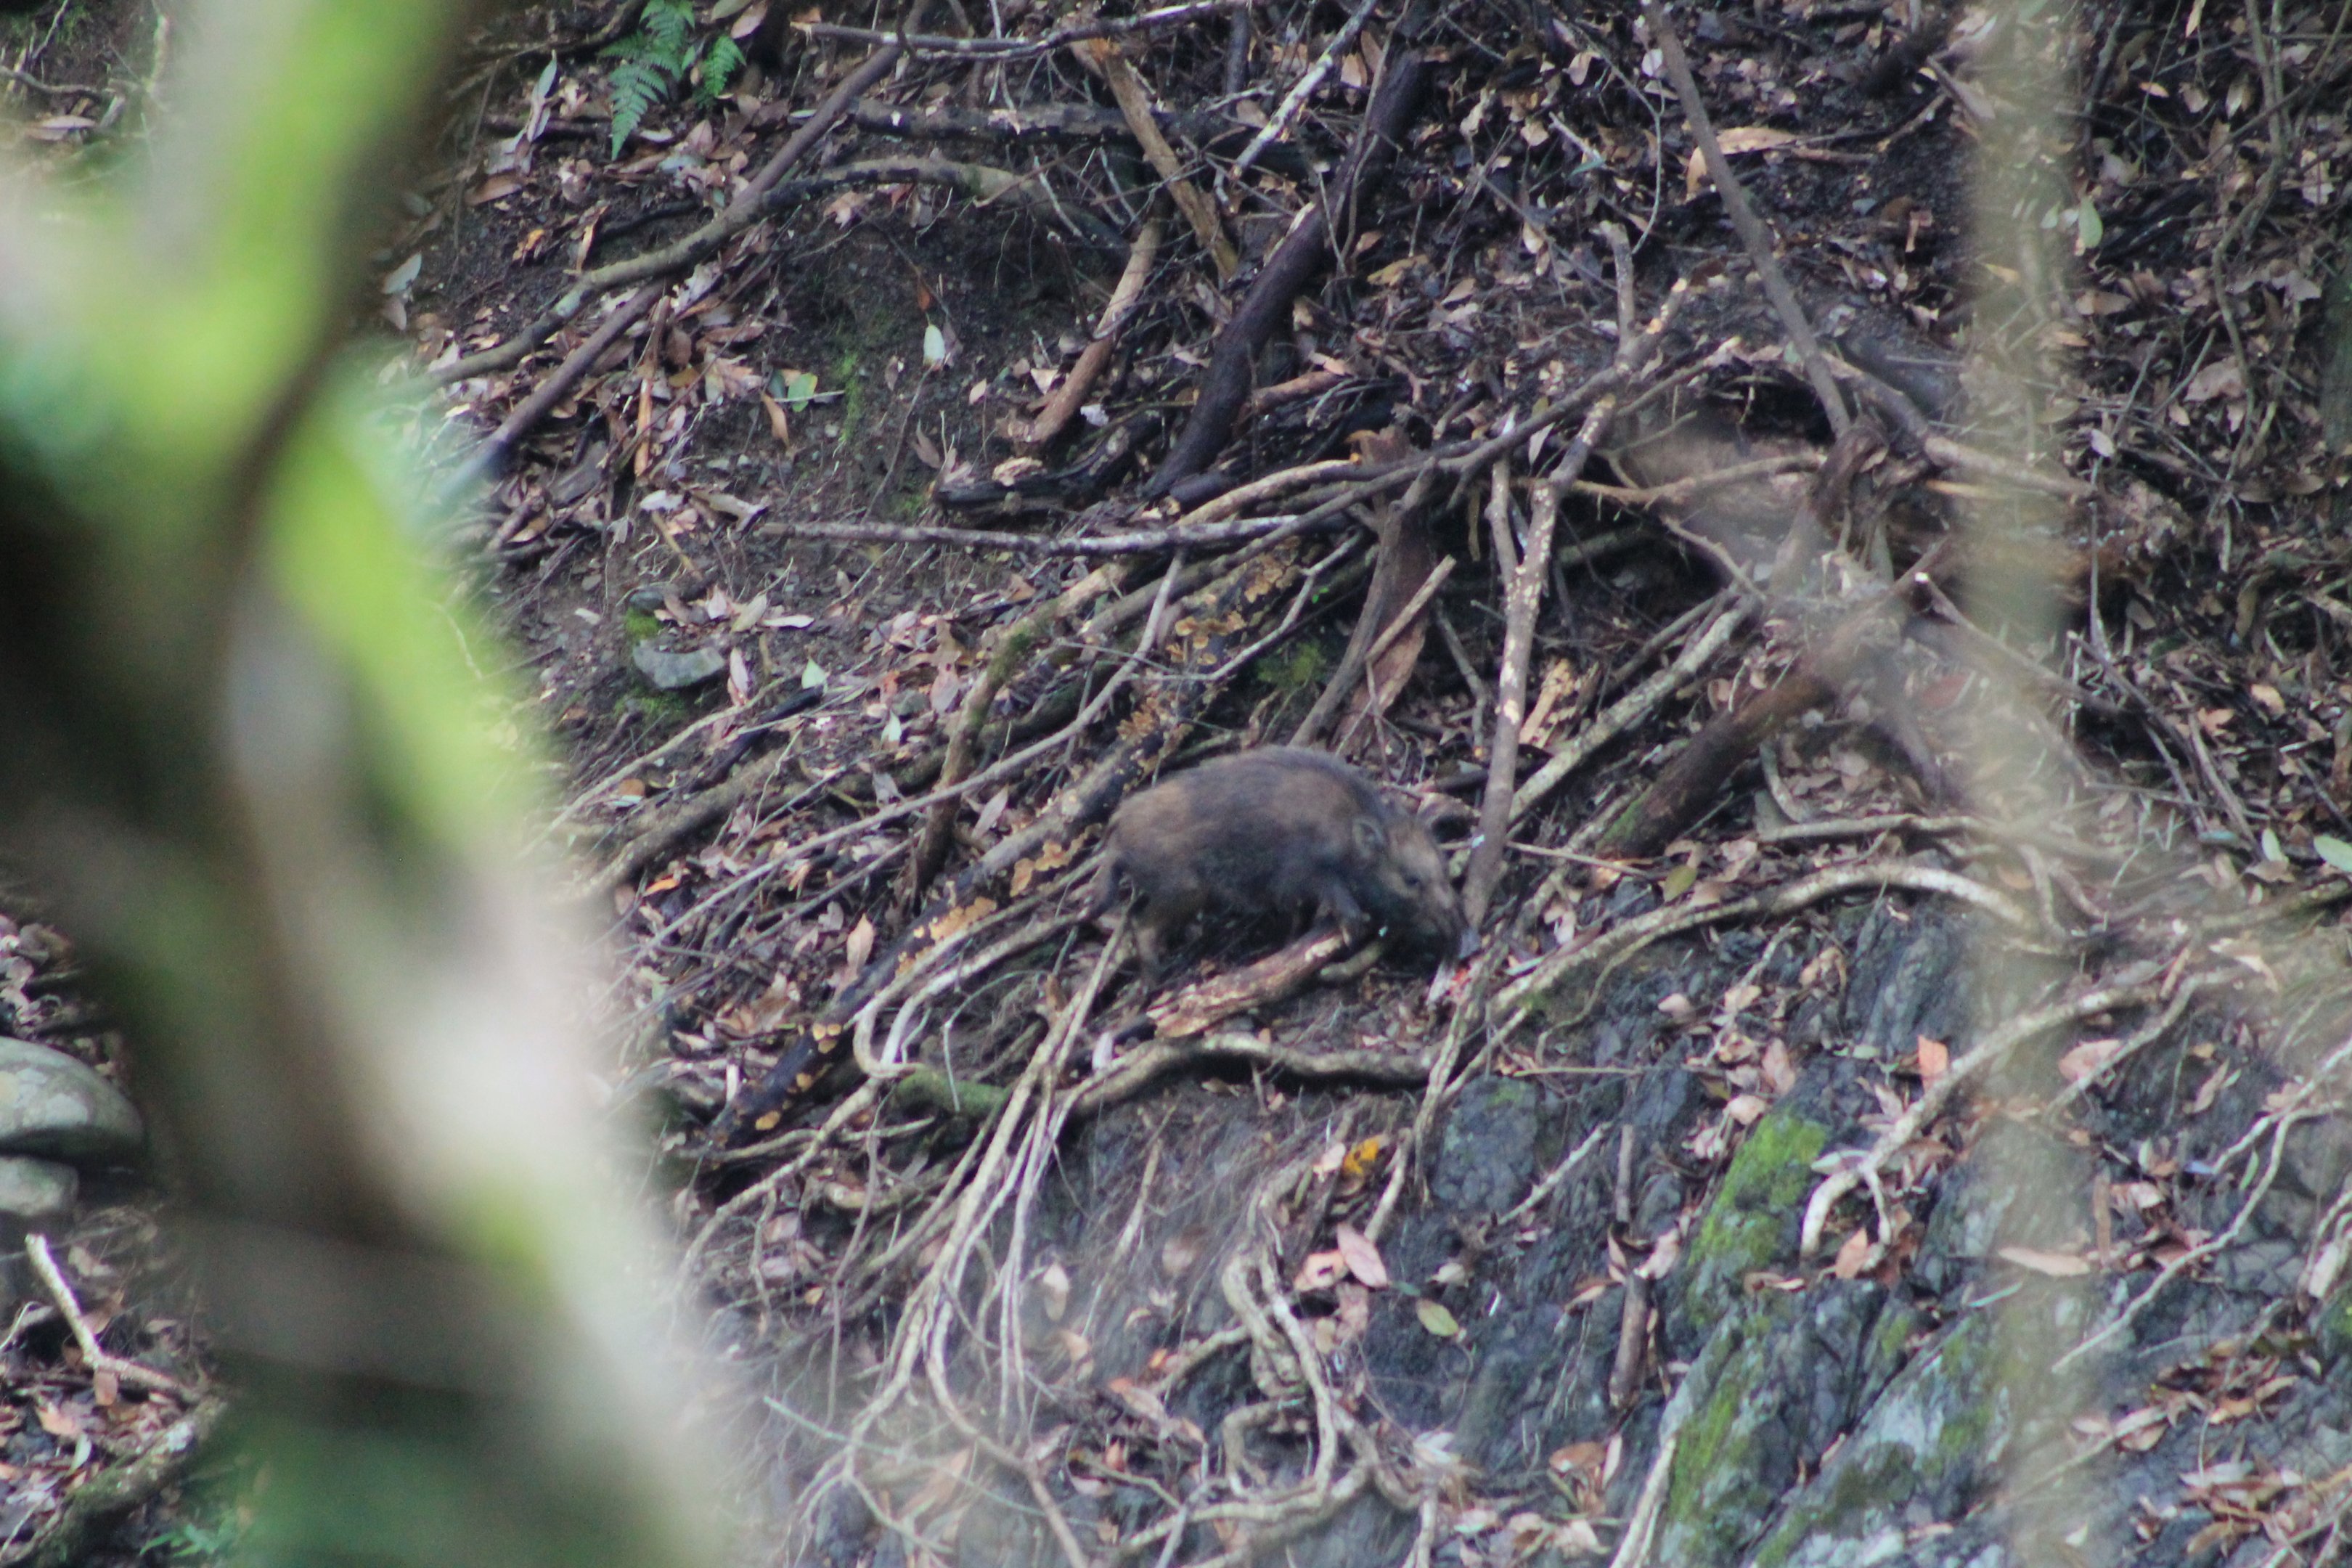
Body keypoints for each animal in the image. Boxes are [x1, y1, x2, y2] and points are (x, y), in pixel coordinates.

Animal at [1087, 747, 1469, 978]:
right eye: (1411, 879)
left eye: (1444, 870)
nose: (1464, 940)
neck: (1345, 829)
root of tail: (1117, 832)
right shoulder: (1306, 872)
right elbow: (1341, 904)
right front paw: (1350, 933)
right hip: (1184, 889)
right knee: (1141, 923)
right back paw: (1156, 978)